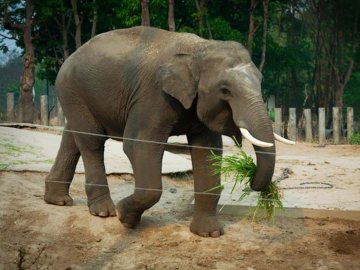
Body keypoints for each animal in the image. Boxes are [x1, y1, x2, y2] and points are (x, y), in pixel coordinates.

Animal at [44, 26, 292, 237]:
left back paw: (58, 201)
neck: (199, 48)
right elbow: (139, 145)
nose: (251, 180)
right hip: (74, 90)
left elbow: (208, 152)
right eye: (225, 90)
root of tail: (70, 57)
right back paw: (104, 212)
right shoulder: (153, 96)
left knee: (73, 138)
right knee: (91, 141)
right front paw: (126, 218)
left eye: (261, 81)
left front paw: (209, 234)